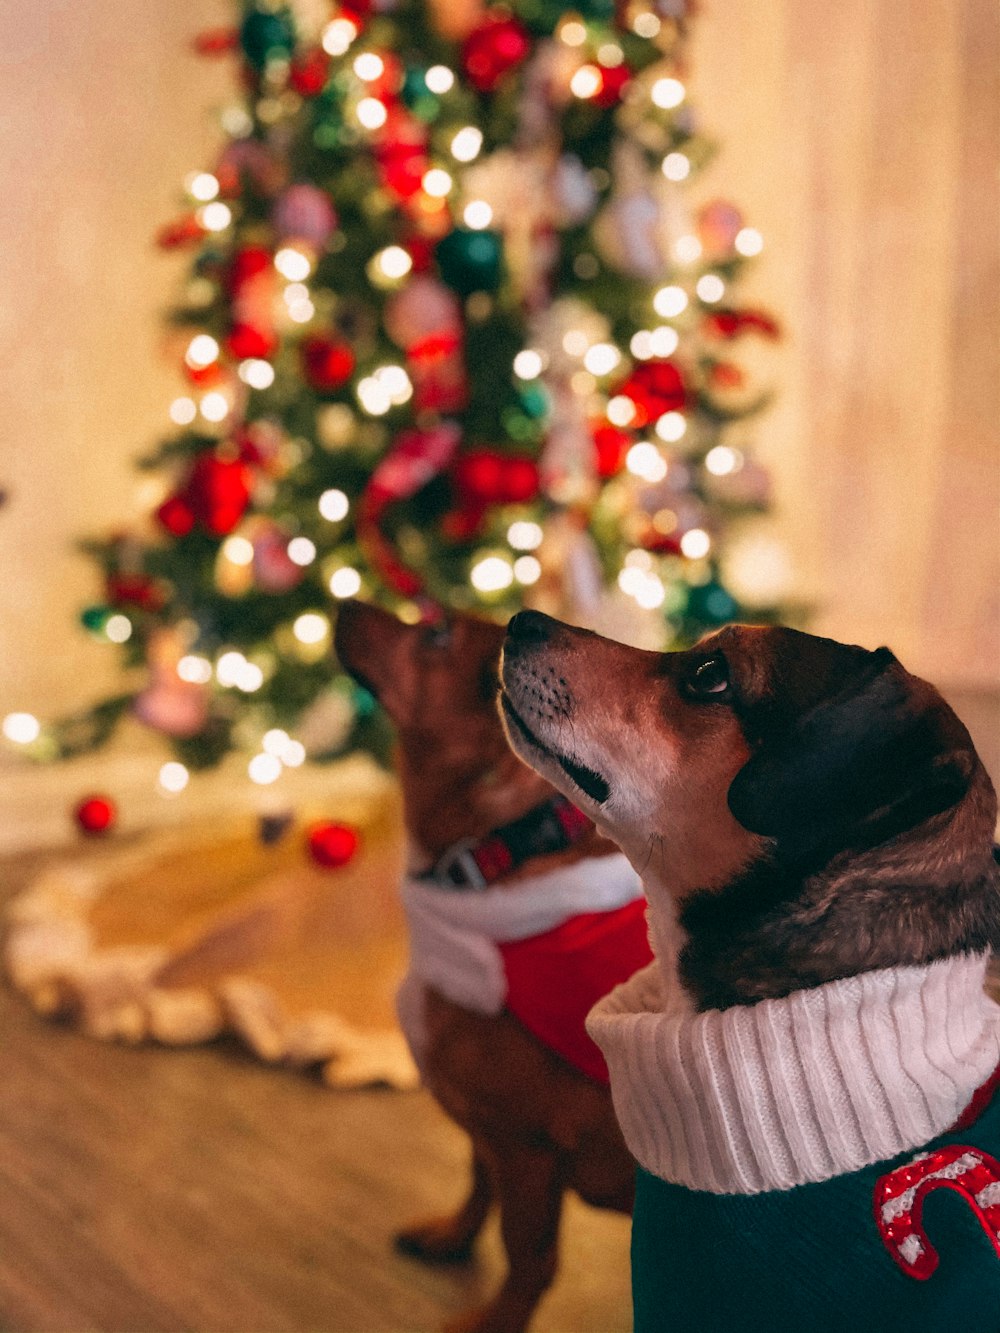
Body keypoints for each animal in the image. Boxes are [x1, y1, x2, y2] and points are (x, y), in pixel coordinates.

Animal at [334, 602, 650, 1333]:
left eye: (435, 634)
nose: (342, 602)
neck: (501, 847)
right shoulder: (489, 1133)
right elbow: (476, 1180)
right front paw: (452, 1235)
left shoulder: (526, 1146)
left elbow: (528, 1253)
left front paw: (493, 1322)